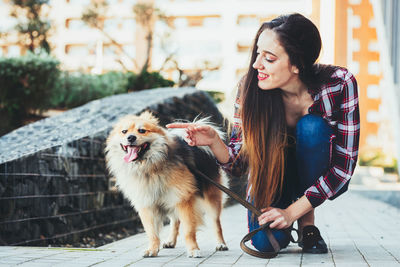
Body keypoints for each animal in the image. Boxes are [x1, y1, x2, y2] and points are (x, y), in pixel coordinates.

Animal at [104, 112, 228, 258]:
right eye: (124, 131)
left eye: (142, 130)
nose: (130, 137)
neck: (149, 168)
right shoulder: (148, 204)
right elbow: (152, 233)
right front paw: (152, 249)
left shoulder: (184, 199)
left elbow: (189, 230)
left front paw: (193, 249)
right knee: (175, 221)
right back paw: (170, 241)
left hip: (210, 199)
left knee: (216, 223)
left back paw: (221, 244)